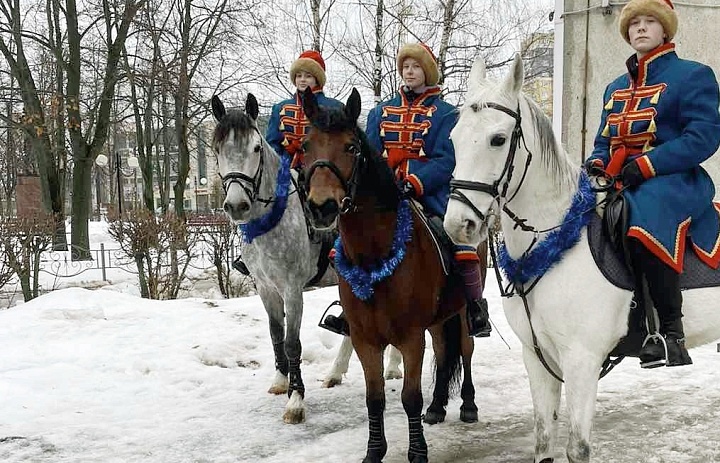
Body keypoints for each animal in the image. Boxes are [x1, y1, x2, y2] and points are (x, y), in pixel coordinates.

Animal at [442, 54, 720, 463]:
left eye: (498, 139)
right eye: (454, 139)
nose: (459, 225)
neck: (556, 240)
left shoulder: (582, 360)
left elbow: (578, 447)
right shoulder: (536, 356)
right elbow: (544, 439)